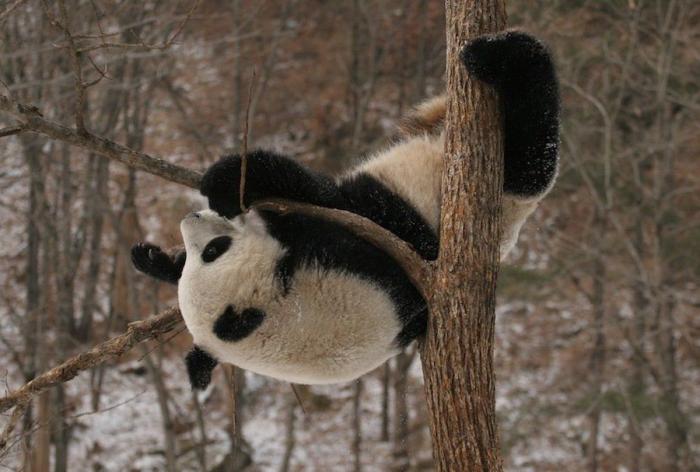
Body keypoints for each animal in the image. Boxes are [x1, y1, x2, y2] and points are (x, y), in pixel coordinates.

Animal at [131, 32, 559, 389]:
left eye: (212, 250)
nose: (189, 220)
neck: (280, 314)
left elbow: (312, 194)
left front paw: (157, 253)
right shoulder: (355, 268)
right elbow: (333, 201)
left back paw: (490, 58)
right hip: (504, 187)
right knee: (532, 152)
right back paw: (504, 56)